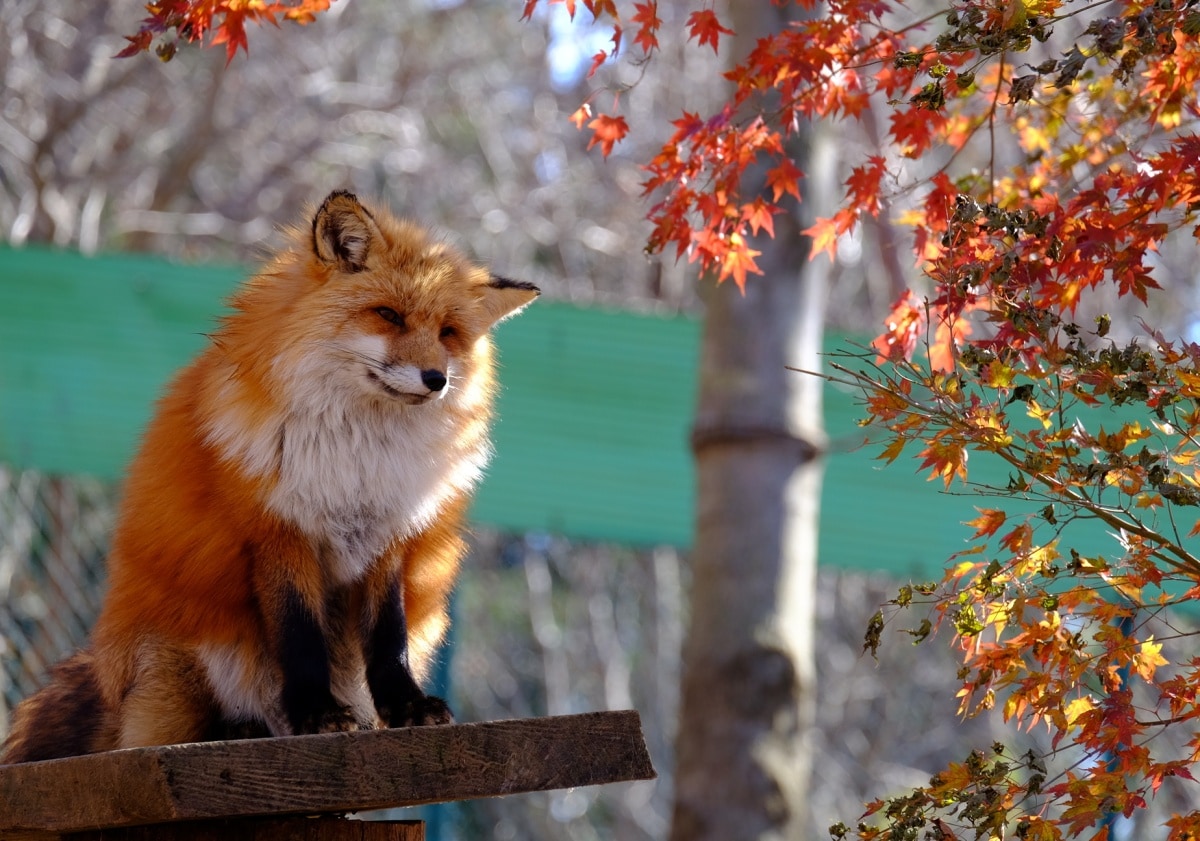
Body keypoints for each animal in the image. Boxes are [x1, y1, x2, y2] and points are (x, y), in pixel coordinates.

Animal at [3, 188, 540, 763]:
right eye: (388, 315)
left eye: (448, 333)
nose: (436, 379)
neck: (358, 457)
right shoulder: (277, 531)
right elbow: (299, 635)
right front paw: (317, 714)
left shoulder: (390, 536)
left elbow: (388, 637)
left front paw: (406, 707)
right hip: (179, 667)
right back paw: (240, 729)